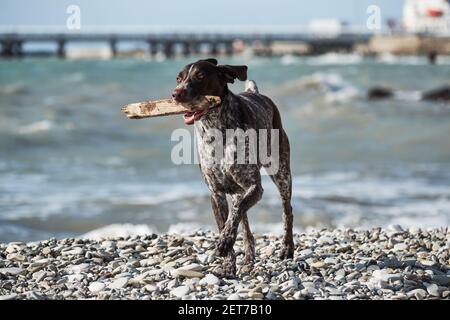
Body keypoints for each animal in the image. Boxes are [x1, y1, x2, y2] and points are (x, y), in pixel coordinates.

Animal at [171, 58, 294, 276]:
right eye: (179, 78)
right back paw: (249, 258)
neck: (215, 130)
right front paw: (228, 265)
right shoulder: (217, 194)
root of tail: (255, 92)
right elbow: (227, 221)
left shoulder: (254, 188)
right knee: (245, 226)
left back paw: (287, 248)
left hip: (281, 173)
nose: (176, 94)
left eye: (200, 76)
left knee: (286, 210)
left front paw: (226, 240)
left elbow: (235, 213)